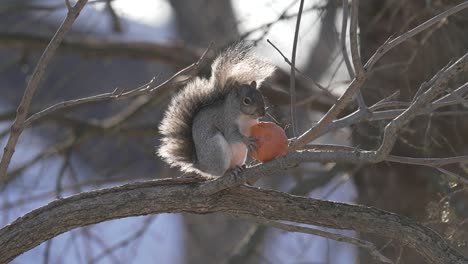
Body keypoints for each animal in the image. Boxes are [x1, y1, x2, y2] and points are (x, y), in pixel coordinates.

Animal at [158, 44, 274, 177]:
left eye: (261, 95)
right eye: (246, 101)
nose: (262, 113)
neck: (245, 117)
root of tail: (203, 167)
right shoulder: (226, 121)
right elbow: (233, 135)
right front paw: (247, 140)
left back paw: (241, 167)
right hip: (217, 149)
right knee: (220, 172)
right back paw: (229, 171)